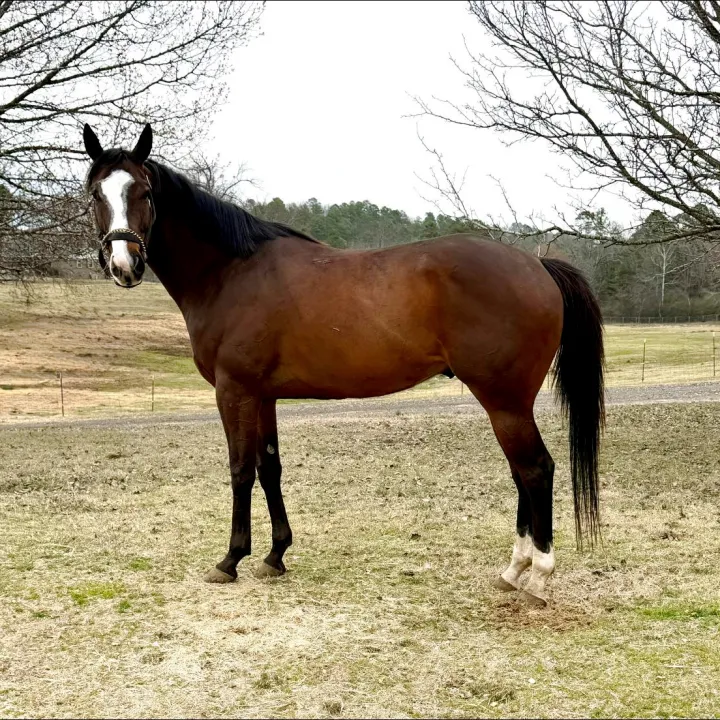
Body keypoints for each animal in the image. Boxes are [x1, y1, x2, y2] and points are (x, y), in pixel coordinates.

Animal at [82, 123, 604, 607]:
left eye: (144, 192)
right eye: (95, 194)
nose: (124, 264)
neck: (231, 272)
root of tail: (537, 266)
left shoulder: (234, 391)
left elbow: (240, 469)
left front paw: (230, 560)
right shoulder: (264, 396)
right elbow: (269, 468)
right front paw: (275, 555)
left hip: (504, 401)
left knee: (535, 470)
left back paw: (537, 578)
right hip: (506, 403)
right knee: (521, 473)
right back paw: (513, 571)